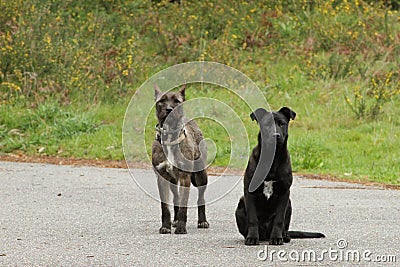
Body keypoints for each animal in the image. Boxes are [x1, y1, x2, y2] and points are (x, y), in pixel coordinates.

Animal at [152, 85, 211, 236]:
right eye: (161, 101)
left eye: (177, 101)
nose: (169, 109)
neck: (170, 137)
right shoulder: (162, 178)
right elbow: (165, 207)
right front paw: (166, 226)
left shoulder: (185, 178)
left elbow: (184, 206)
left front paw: (181, 227)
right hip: (173, 181)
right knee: (176, 198)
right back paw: (175, 220)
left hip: (201, 176)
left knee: (201, 197)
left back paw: (202, 221)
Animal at [234, 107, 324, 247]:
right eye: (267, 125)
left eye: (282, 124)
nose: (275, 136)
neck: (273, 157)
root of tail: (265, 234)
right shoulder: (249, 192)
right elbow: (252, 219)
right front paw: (252, 238)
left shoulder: (284, 193)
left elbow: (279, 220)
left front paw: (276, 238)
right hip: (241, 204)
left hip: (289, 204)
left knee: (284, 228)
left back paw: (284, 236)